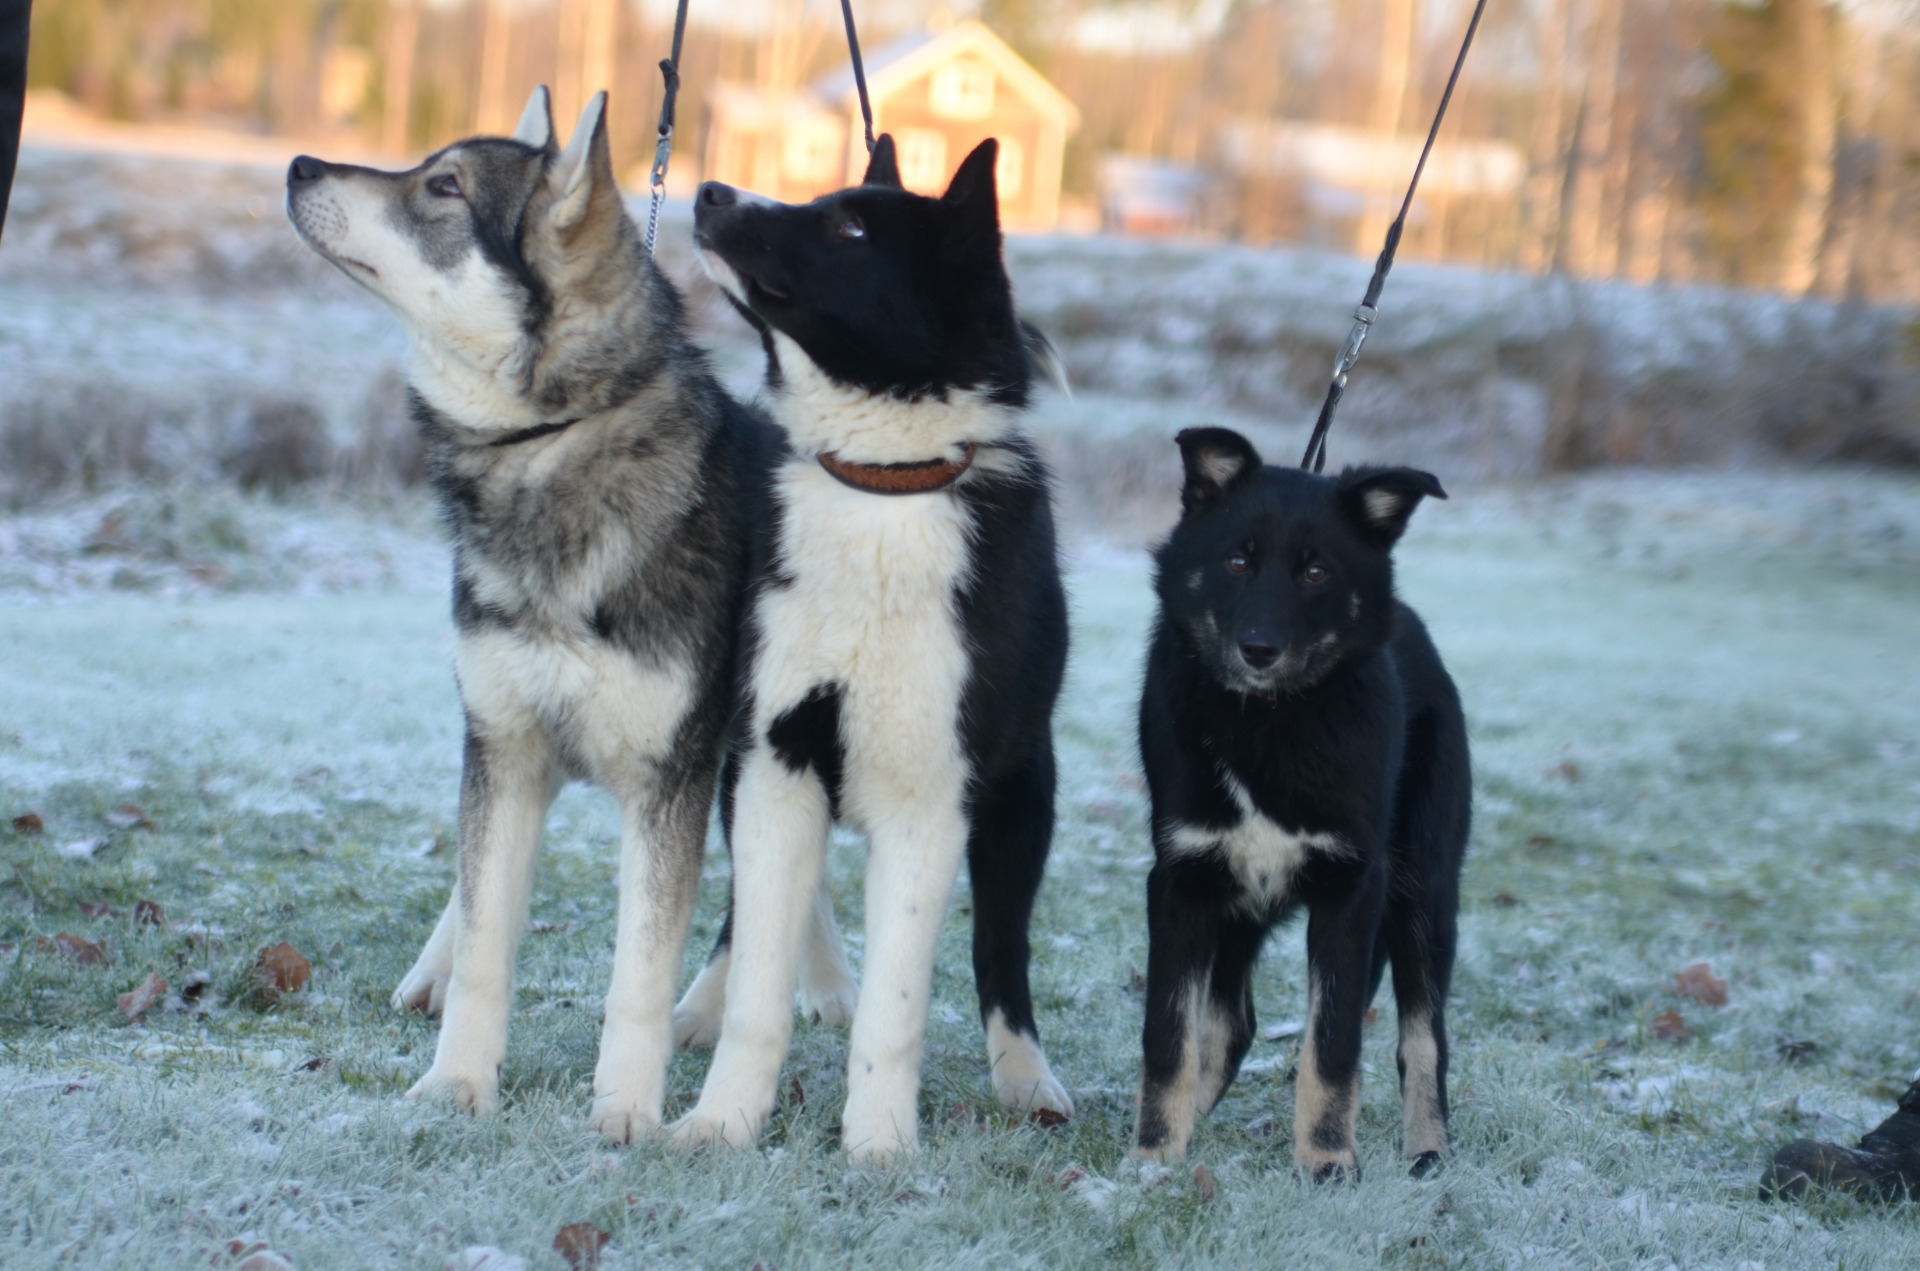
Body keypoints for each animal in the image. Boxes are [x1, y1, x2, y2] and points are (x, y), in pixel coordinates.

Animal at [285, 87, 776, 1141]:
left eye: (443, 186)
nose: (299, 165)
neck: (550, 446)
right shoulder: (502, 746)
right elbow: (485, 941)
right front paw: (456, 1084)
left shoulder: (668, 785)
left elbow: (640, 973)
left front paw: (625, 1111)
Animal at [665, 134, 1074, 1163]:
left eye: (851, 228)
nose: (710, 189)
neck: (883, 485)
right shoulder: (775, 762)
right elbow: (760, 981)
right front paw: (723, 1121)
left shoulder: (932, 798)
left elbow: (897, 1006)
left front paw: (879, 1146)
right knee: (743, 918)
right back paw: (697, 1006)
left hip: (1023, 796)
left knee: (1002, 949)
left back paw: (1026, 1075)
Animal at [1134, 427, 1470, 1179]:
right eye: (1236, 561)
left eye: (1316, 574)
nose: (1258, 650)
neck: (1269, 720)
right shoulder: (1182, 882)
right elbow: (1169, 1037)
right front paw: (1154, 1161)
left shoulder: (1351, 891)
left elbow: (1333, 1045)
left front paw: (1325, 1163)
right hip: (1236, 907)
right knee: (1232, 1025)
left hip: (1424, 894)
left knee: (1423, 1038)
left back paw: (1427, 1147)